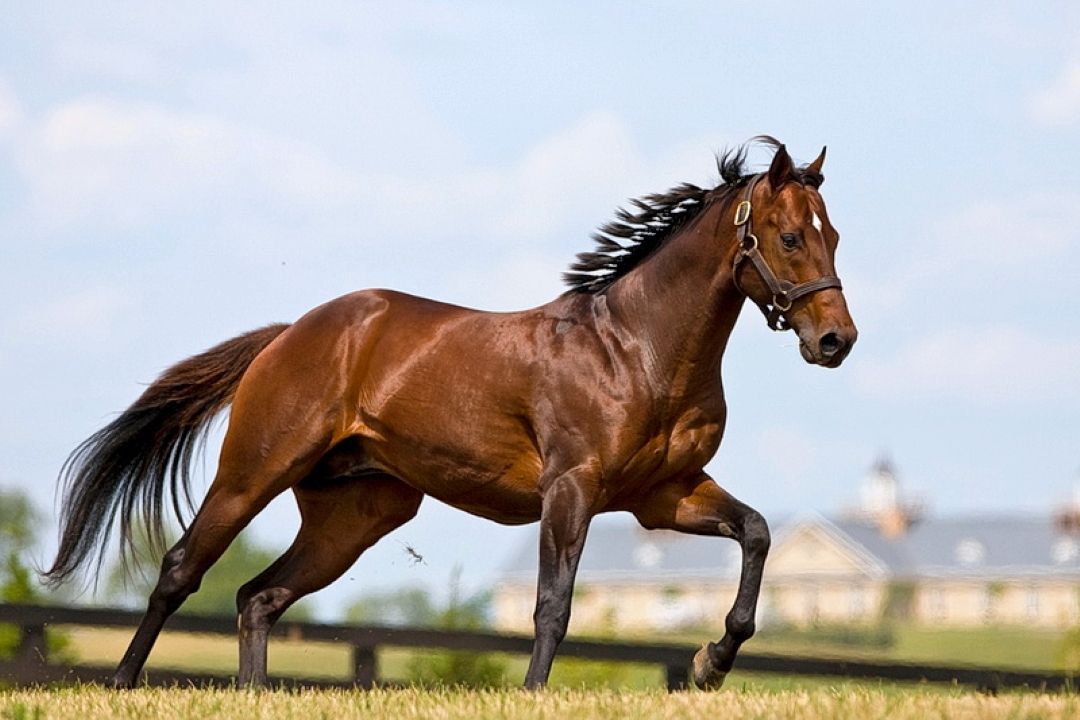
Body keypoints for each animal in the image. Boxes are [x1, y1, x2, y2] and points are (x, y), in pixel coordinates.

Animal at [46, 138, 859, 690]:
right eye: (791, 236)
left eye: (835, 235)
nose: (836, 341)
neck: (636, 349)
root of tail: (289, 335)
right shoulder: (572, 489)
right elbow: (553, 604)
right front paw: (535, 694)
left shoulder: (664, 495)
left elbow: (756, 533)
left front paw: (710, 662)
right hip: (254, 473)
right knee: (182, 570)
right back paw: (121, 684)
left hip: (358, 514)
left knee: (258, 597)